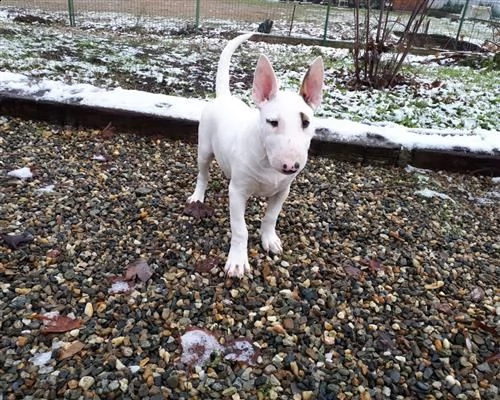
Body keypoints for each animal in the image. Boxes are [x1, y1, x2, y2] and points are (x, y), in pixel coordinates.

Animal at [188, 33, 324, 278]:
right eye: (272, 122)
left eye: (306, 122)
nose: (291, 166)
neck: (266, 161)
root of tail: (224, 97)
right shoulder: (237, 192)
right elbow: (240, 229)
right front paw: (237, 262)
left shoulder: (282, 191)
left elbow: (271, 217)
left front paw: (270, 240)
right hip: (203, 150)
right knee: (202, 174)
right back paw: (197, 196)